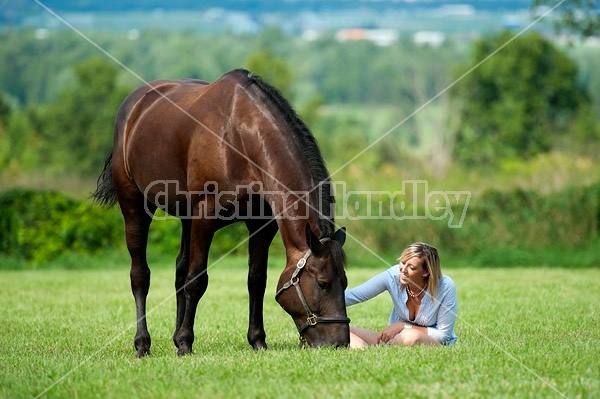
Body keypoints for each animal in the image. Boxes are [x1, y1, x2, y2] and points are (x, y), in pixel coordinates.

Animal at [91, 68, 350, 356]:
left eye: (345, 282)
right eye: (322, 283)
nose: (340, 342)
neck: (240, 138)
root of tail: (133, 106)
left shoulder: (261, 224)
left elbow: (256, 280)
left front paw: (257, 340)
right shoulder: (205, 217)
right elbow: (196, 281)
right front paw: (185, 343)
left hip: (186, 218)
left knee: (179, 271)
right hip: (135, 206)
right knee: (140, 275)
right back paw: (143, 343)